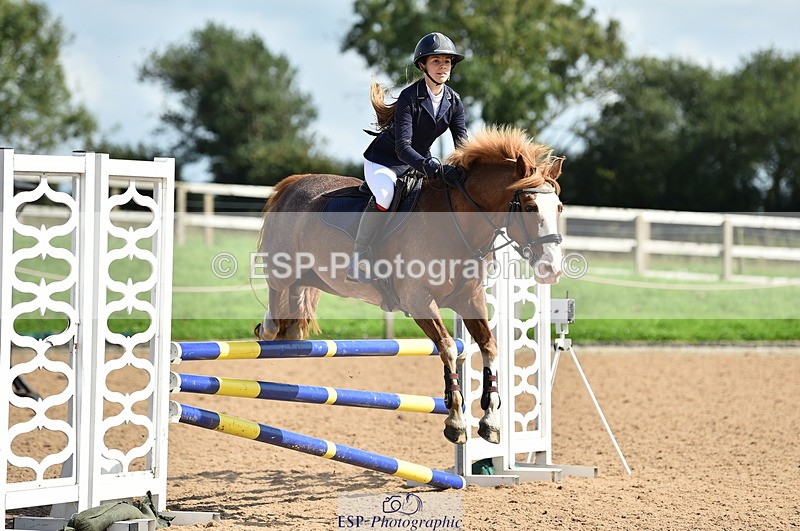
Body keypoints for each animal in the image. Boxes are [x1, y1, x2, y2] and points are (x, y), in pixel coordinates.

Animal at [254, 125, 564, 445]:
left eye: (559, 208)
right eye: (529, 207)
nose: (551, 269)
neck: (458, 224)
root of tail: (295, 182)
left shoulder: (470, 298)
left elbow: (489, 346)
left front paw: (490, 422)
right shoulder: (418, 300)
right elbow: (448, 348)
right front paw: (456, 422)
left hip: (312, 274)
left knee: (295, 296)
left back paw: (290, 331)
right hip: (283, 265)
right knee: (277, 289)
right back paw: (268, 329)